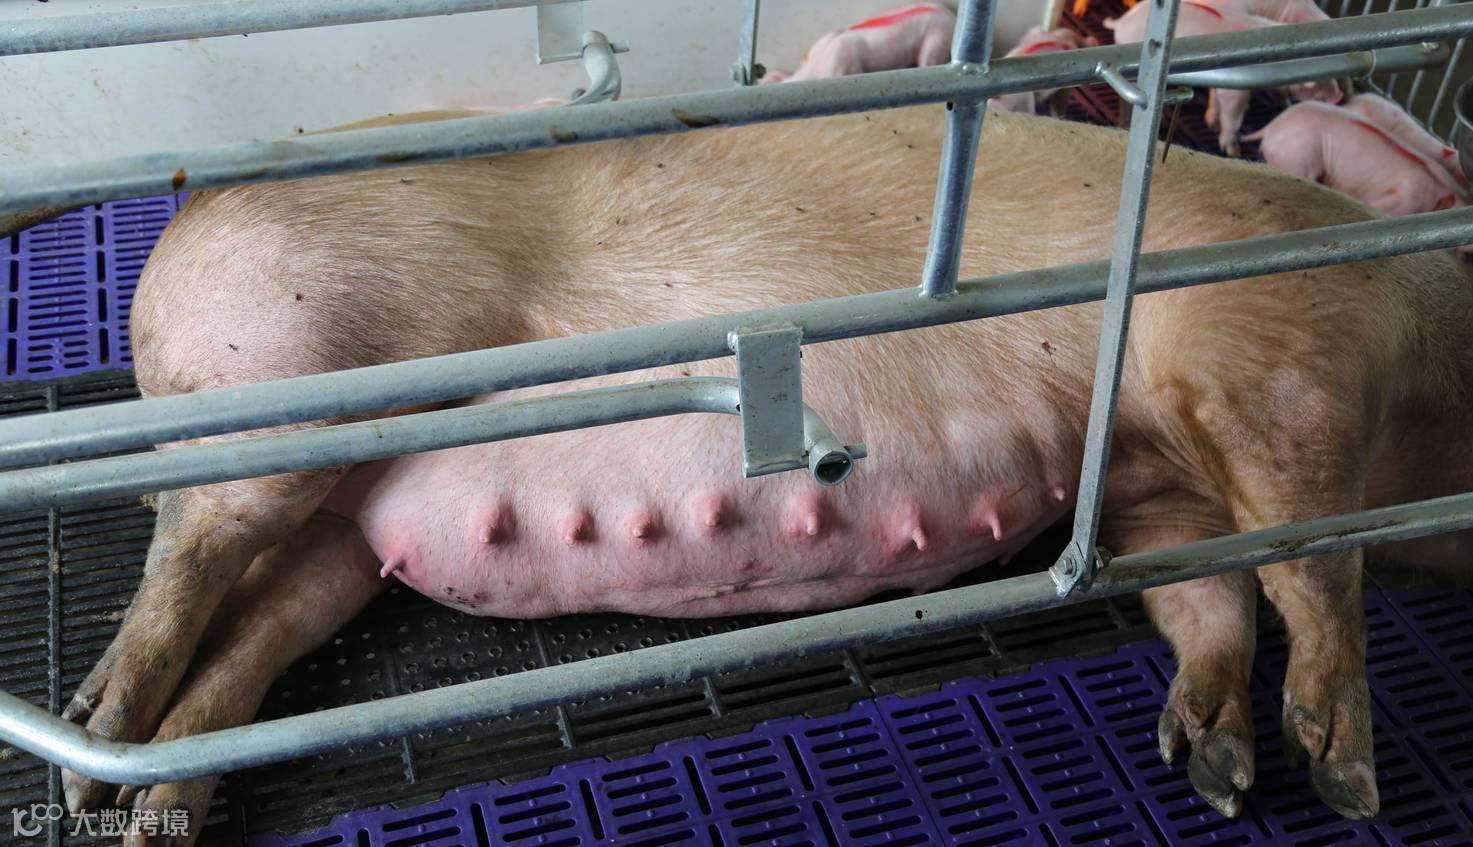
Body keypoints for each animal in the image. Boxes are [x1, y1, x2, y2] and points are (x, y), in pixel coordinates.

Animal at [1105, 1, 1345, 157]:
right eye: (1320, 77)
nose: (1339, 95)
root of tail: (1121, 23)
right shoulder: (1236, 89)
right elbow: (1233, 114)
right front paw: (1234, 151)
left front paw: (1212, 124)